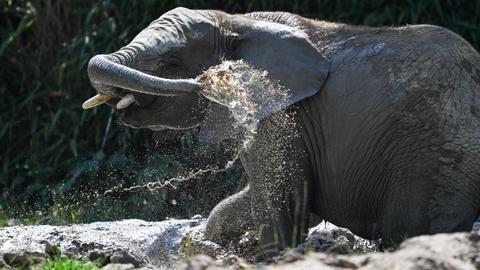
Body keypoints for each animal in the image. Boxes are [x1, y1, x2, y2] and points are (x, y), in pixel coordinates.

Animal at [83, 6, 480, 253]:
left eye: (171, 61)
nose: (205, 81)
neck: (236, 21)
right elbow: (259, 197)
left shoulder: (281, 113)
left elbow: (281, 198)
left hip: (436, 160)